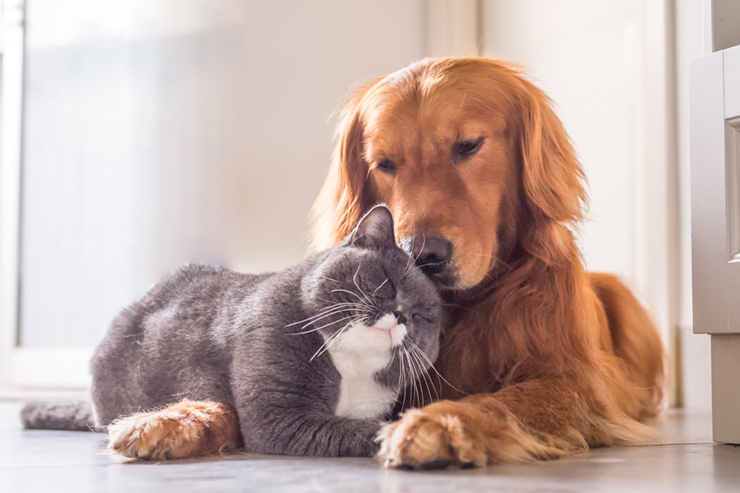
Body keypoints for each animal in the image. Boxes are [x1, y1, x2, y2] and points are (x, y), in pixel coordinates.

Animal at [23, 205, 442, 458]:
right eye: (386, 282)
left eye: (424, 316)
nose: (401, 315)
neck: (351, 367)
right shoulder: (279, 416)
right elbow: (361, 429)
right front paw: (406, 435)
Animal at [102, 57, 664, 466]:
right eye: (384, 163)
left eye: (469, 145)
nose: (422, 253)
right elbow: (233, 397)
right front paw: (172, 418)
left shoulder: (575, 384)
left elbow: (500, 399)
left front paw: (441, 422)